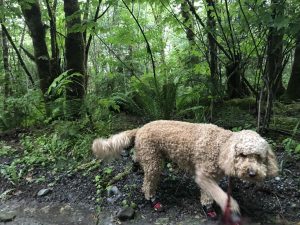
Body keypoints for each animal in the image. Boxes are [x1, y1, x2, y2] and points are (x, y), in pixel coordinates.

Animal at [92, 120, 278, 215]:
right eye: (243, 155)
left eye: (259, 157)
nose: (252, 173)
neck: (221, 146)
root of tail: (140, 128)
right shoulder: (203, 176)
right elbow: (217, 193)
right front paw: (230, 205)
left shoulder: (211, 177)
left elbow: (207, 195)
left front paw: (208, 208)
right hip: (154, 163)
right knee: (147, 185)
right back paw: (152, 200)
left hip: (148, 154)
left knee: (137, 159)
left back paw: (136, 166)